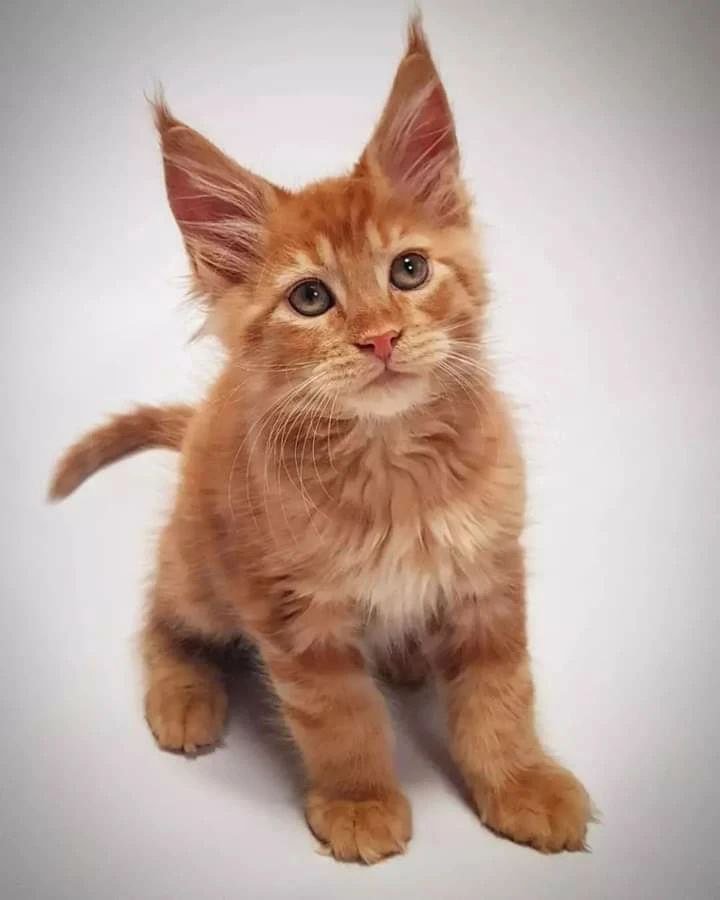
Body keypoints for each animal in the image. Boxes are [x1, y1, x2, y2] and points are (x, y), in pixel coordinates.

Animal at [49, 19, 592, 864]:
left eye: (409, 270)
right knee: (159, 615)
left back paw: (407, 655)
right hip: (199, 569)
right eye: (311, 298)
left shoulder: (489, 577)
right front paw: (361, 801)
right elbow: (340, 717)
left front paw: (521, 781)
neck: (393, 463)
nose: (381, 339)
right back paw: (182, 692)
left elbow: (502, 692)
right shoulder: (295, 615)